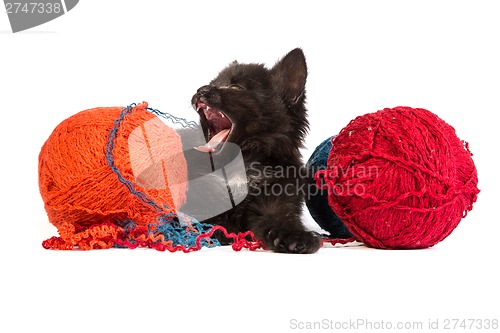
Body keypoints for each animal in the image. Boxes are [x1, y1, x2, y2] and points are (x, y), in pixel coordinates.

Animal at [183, 48, 320, 253]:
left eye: (235, 87)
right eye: (213, 83)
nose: (201, 90)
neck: (241, 165)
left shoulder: (277, 197)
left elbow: (282, 220)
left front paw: (296, 237)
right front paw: (216, 230)